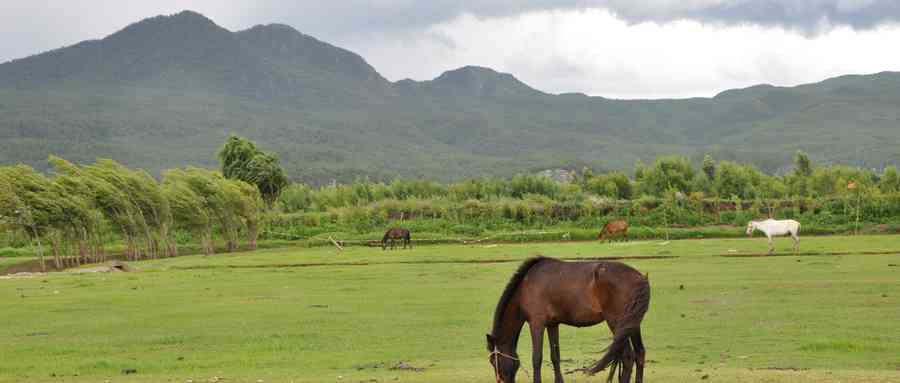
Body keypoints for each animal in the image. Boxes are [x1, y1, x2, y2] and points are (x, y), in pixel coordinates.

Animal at [488, 256, 652, 383]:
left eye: (493, 361)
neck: (526, 285)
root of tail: (640, 278)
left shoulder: (537, 324)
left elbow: (537, 358)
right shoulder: (552, 325)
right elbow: (555, 356)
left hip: (616, 323)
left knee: (628, 357)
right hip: (632, 324)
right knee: (640, 353)